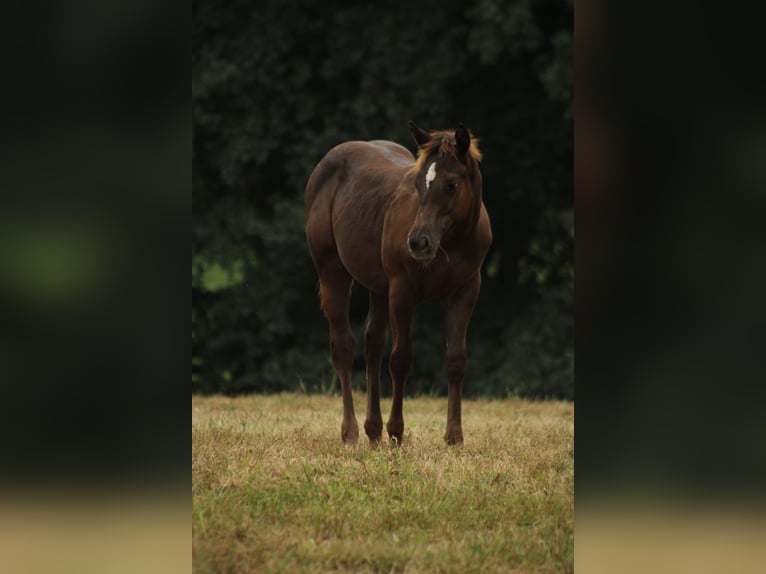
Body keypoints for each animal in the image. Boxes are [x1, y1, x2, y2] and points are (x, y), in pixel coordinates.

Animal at [304, 120, 492, 446]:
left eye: (452, 184)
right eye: (417, 183)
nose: (418, 242)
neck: (450, 243)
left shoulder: (466, 290)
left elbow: (456, 359)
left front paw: (454, 437)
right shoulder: (402, 291)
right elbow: (401, 359)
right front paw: (396, 432)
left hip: (378, 287)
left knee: (373, 343)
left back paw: (373, 431)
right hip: (333, 270)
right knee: (343, 346)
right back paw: (351, 433)